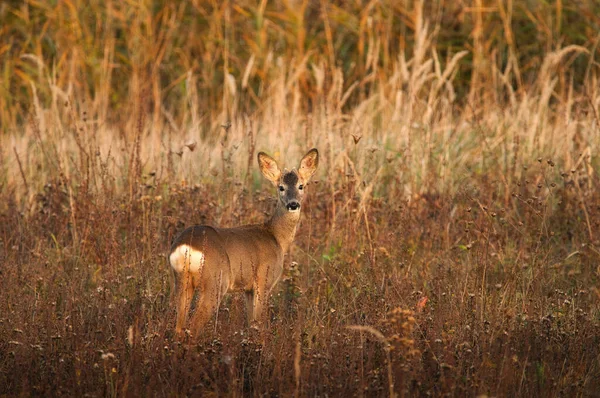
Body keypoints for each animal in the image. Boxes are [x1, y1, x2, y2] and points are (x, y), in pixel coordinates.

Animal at [169, 148, 318, 338]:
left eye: (301, 186)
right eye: (281, 187)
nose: (293, 204)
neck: (276, 237)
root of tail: (185, 247)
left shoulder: (247, 289)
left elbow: (250, 323)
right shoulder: (263, 279)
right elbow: (258, 323)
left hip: (182, 279)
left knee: (179, 327)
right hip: (216, 280)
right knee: (193, 327)